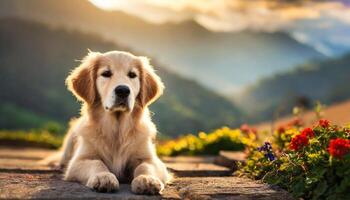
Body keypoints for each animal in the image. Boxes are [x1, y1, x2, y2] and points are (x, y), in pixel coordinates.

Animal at [58, 50, 170, 195]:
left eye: (132, 75)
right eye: (106, 73)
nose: (123, 90)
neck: (117, 131)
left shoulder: (152, 160)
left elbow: (145, 166)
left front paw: (146, 179)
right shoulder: (78, 161)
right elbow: (97, 163)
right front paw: (103, 177)